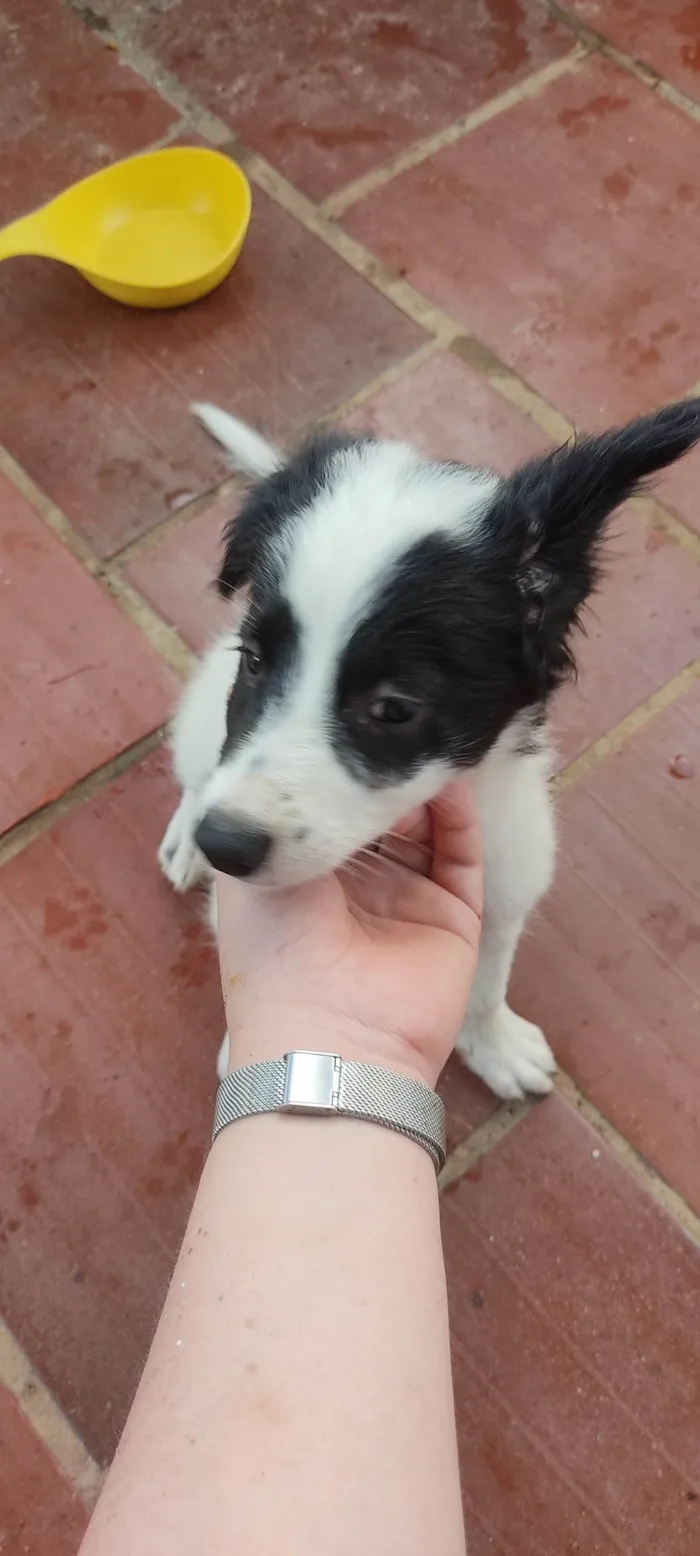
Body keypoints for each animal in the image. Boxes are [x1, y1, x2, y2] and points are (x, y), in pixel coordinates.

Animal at [159, 396, 700, 1098]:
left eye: (394, 708)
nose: (223, 846)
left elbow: (486, 983)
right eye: (253, 661)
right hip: (202, 719)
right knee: (194, 771)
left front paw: (493, 1044)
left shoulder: (506, 886)